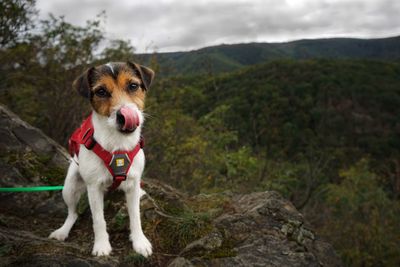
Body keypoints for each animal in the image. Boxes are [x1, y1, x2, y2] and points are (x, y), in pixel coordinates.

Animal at [49, 61, 155, 258]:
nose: (125, 115)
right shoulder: (93, 187)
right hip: (70, 187)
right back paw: (62, 231)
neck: (118, 143)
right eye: (101, 91)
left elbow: (135, 216)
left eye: (133, 85)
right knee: (73, 213)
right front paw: (101, 245)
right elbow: (98, 220)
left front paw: (139, 241)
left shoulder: (133, 182)